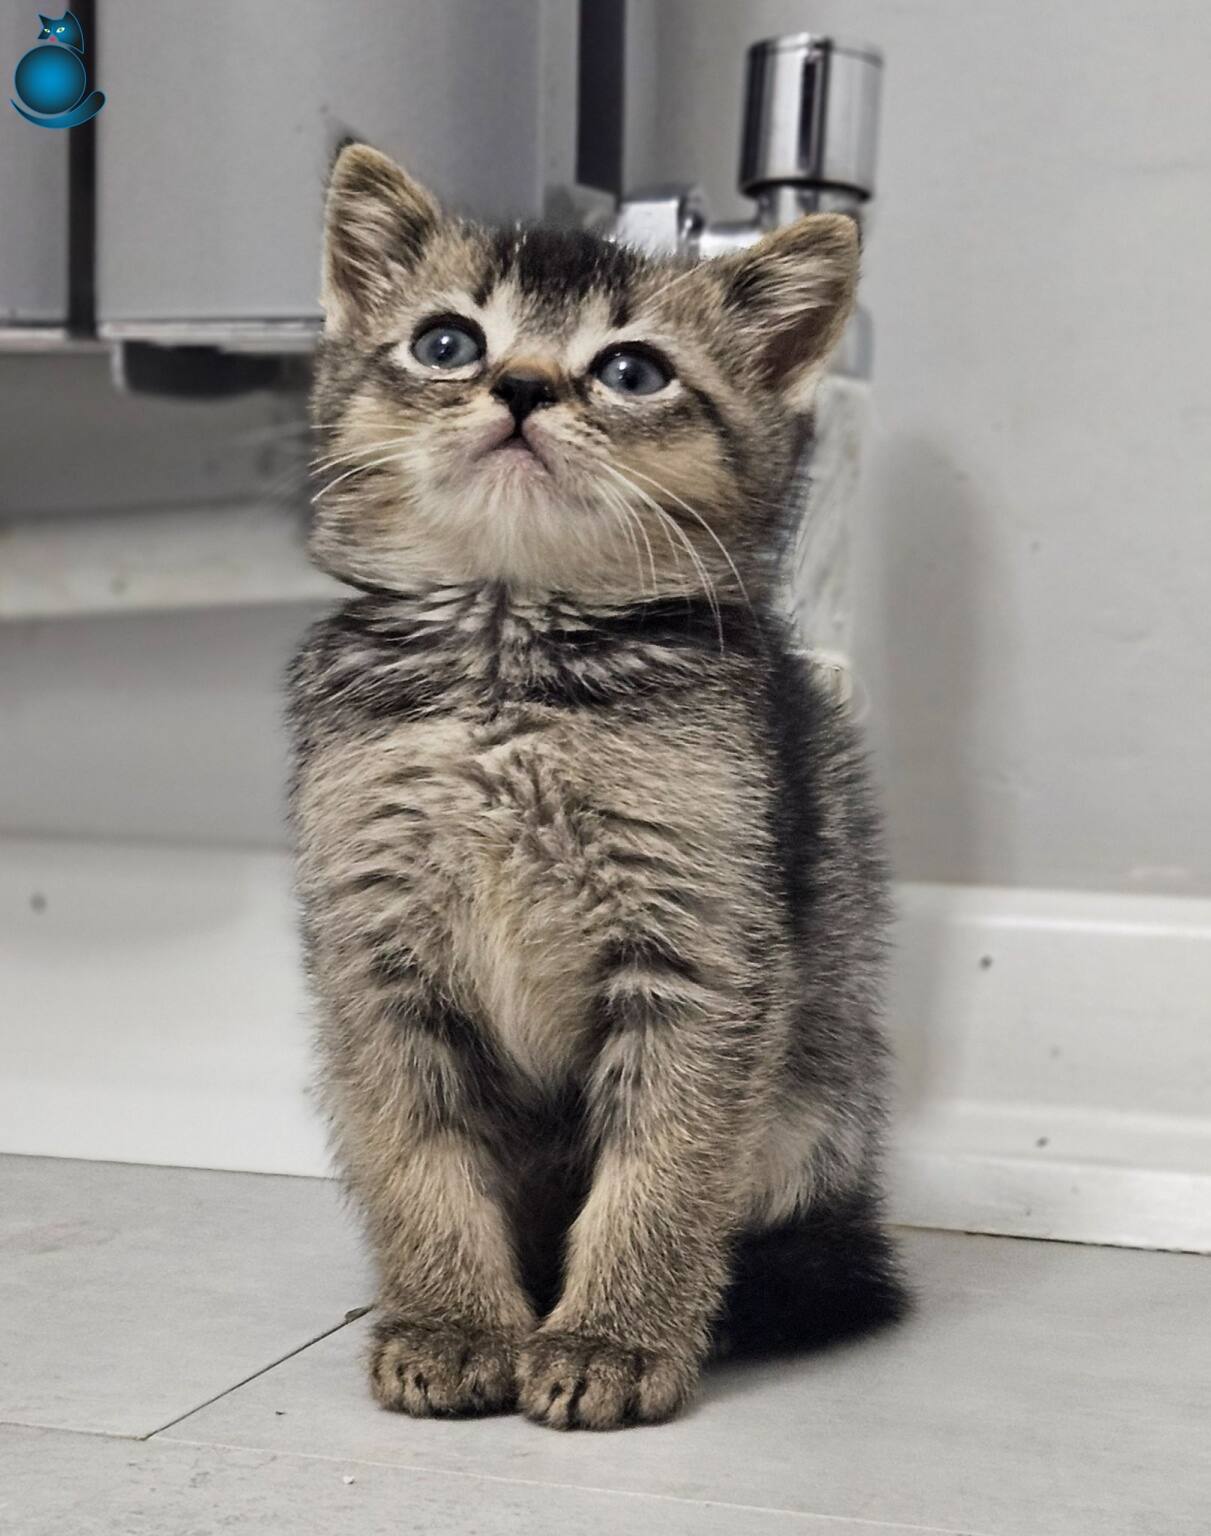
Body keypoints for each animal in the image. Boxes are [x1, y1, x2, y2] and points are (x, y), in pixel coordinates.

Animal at [288, 143, 907, 1430]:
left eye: (630, 371)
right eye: (446, 342)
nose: (521, 388)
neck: (507, 669)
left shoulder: (700, 955)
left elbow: (664, 1167)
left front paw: (615, 1338)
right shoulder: (375, 955)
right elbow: (416, 1155)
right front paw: (451, 1320)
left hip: (814, 1106)